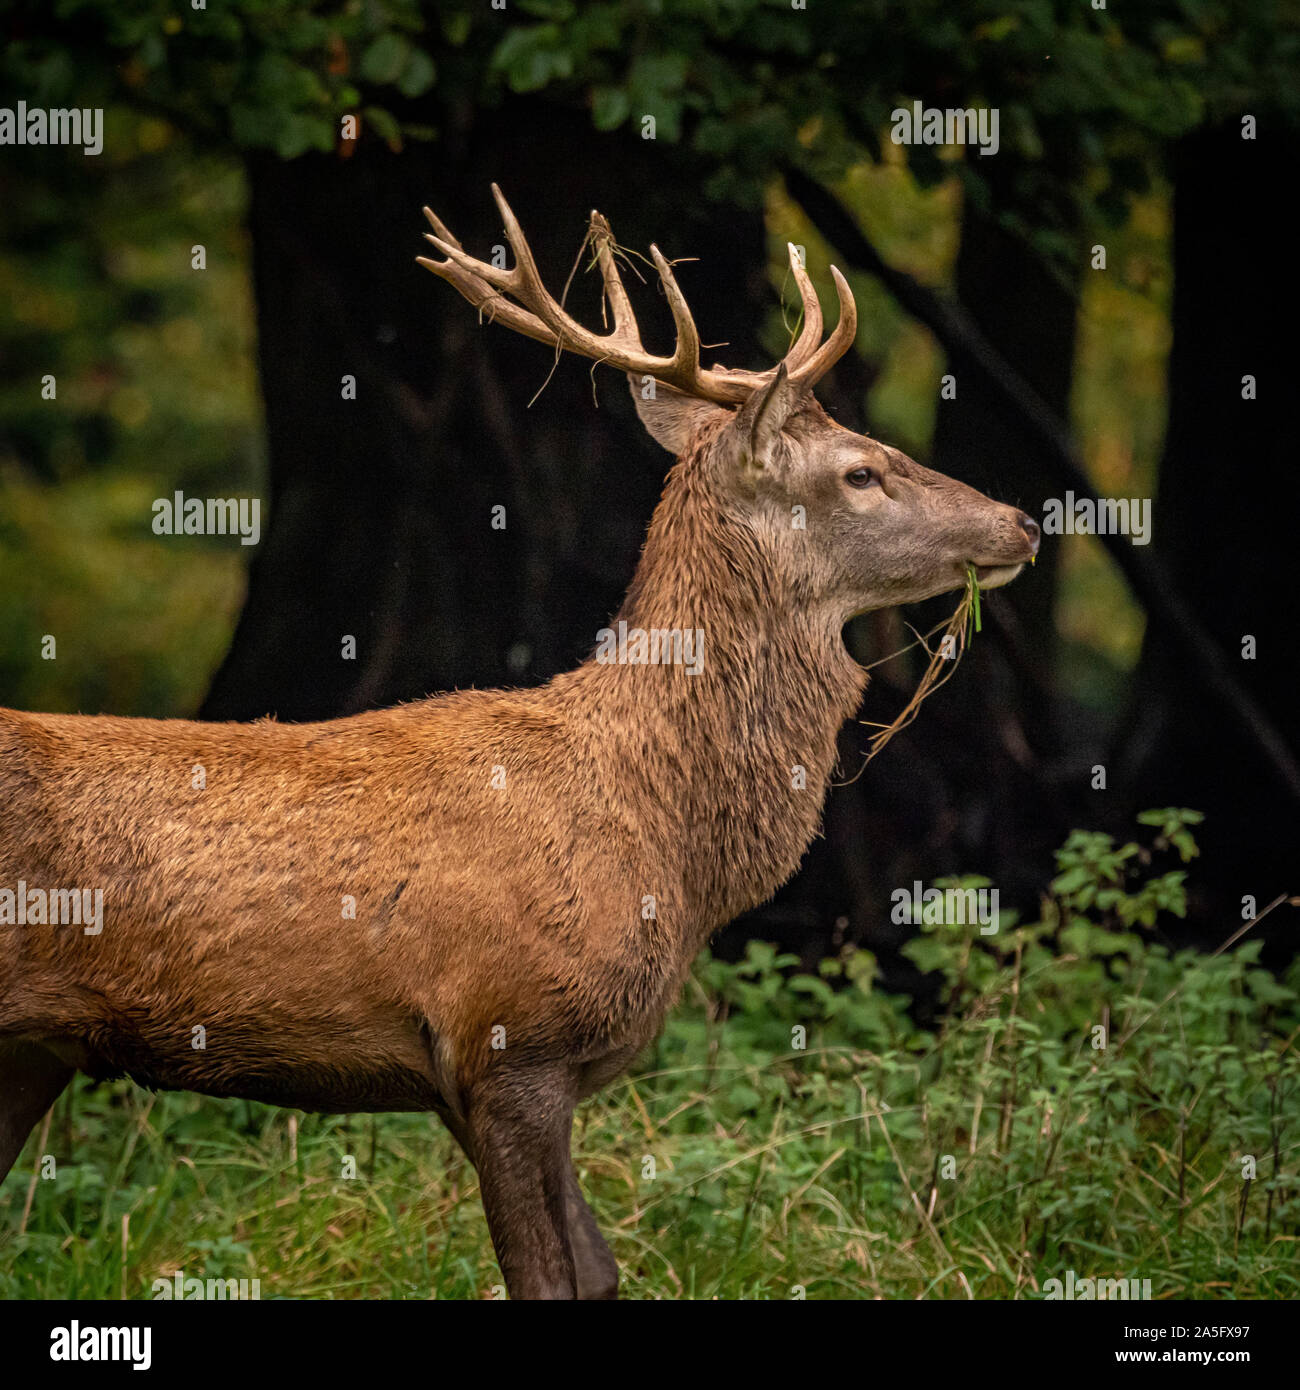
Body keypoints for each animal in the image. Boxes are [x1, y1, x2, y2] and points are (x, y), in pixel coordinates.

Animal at [0, 185, 1039, 1299]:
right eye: (860, 471)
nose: (1022, 521)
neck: (673, 853)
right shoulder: (507, 1039)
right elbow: (547, 1278)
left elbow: (602, 1270)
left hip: (34, 1047)